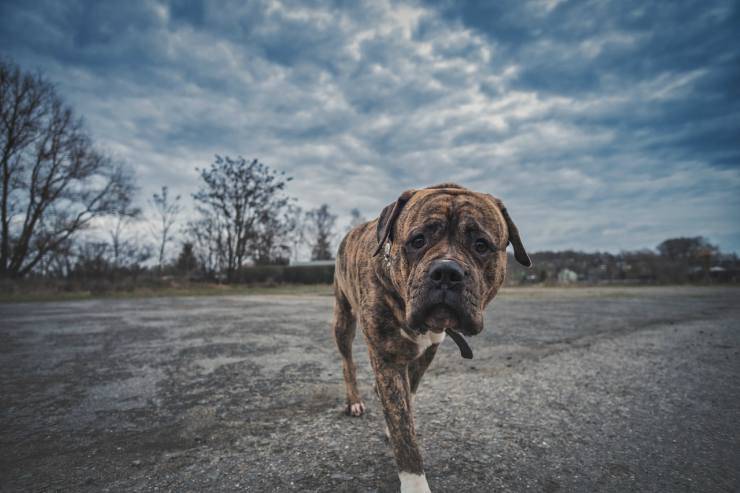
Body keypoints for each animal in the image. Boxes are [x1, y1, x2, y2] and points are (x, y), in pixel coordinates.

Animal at [330, 183, 532, 490]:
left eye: (481, 245)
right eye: (418, 240)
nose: (446, 271)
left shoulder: (428, 351)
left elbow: (408, 394)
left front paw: (396, 418)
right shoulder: (386, 356)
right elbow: (404, 436)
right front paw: (415, 483)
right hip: (343, 320)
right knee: (347, 363)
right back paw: (353, 399)